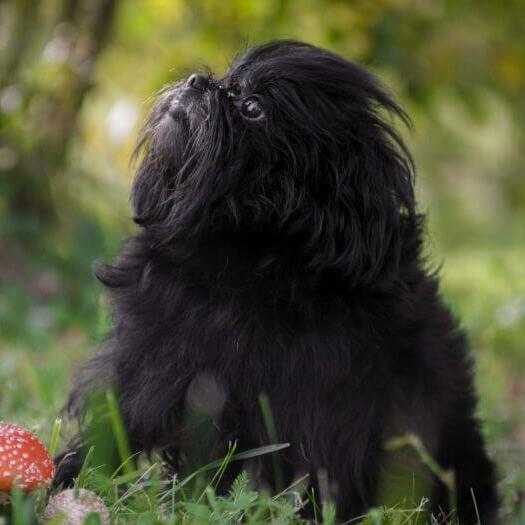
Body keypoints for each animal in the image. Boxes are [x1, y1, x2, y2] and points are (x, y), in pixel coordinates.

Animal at [59, 42, 498, 524]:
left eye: (253, 107)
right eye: (225, 81)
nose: (199, 82)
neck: (236, 256)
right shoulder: (148, 366)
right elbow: (116, 429)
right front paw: (65, 478)